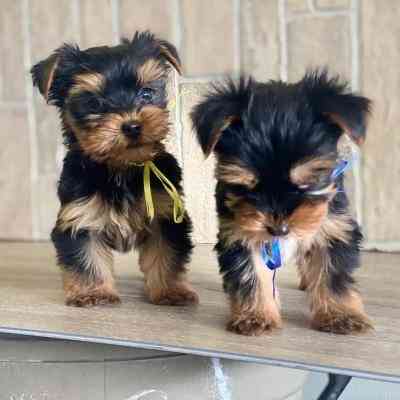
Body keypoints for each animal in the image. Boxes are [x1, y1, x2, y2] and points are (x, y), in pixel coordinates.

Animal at [31, 32, 198, 306]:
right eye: (95, 104)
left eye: (146, 93)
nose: (132, 126)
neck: (121, 167)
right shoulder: (79, 216)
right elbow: (86, 257)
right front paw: (92, 292)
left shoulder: (165, 215)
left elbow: (167, 256)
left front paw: (170, 291)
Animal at [191, 71, 372, 334]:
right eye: (246, 186)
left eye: (308, 183)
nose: (278, 229)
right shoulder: (239, 231)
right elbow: (251, 273)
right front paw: (254, 316)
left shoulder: (333, 227)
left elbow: (332, 274)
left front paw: (341, 315)